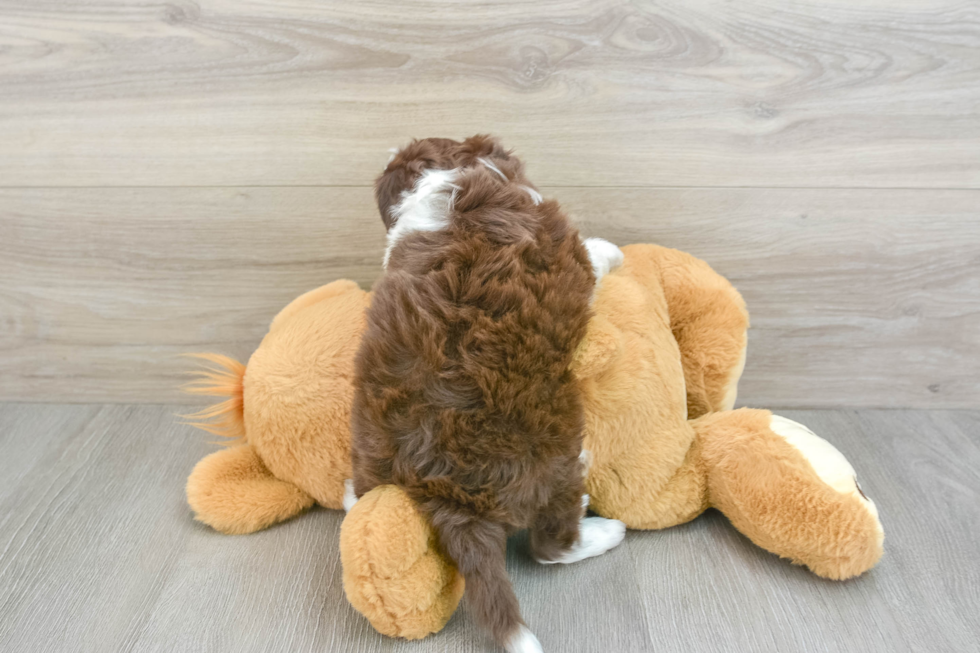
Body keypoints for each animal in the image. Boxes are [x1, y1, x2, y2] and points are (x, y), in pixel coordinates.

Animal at [348, 135, 624, 648]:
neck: (449, 174)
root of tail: (447, 492)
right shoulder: (564, 244)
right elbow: (593, 257)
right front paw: (613, 251)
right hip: (554, 462)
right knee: (551, 546)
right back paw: (599, 528)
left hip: (371, 453)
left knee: (360, 496)